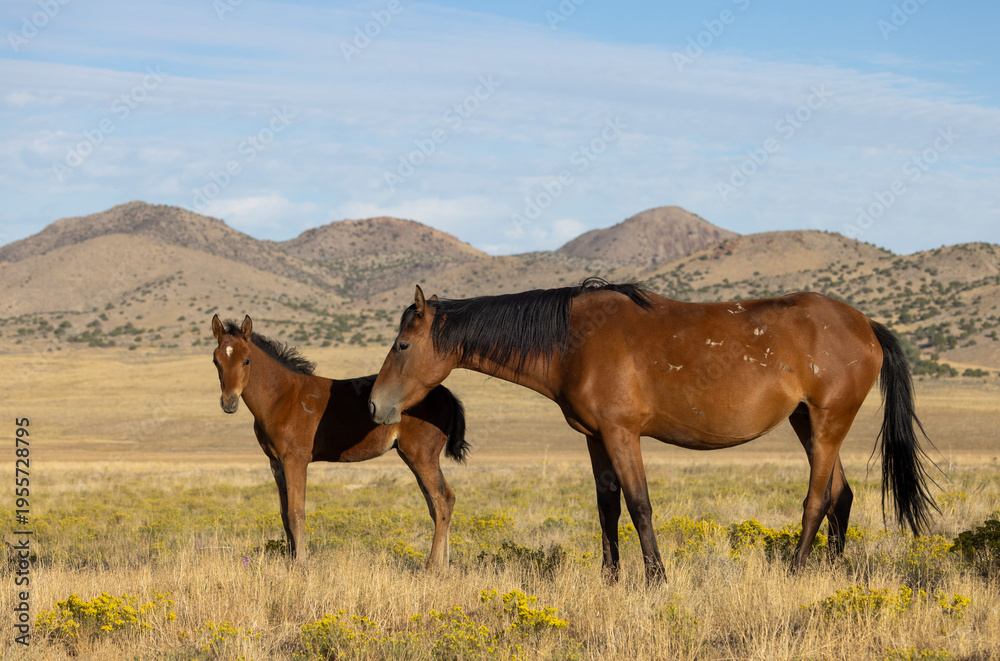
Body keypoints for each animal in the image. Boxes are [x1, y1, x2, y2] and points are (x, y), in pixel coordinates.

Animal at [210, 314, 469, 570]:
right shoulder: (276, 463)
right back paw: (444, 567)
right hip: (413, 456)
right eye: (215, 361)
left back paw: (433, 568)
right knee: (438, 504)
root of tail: (446, 394)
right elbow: (284, 515)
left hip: (421, 455)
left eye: (246, 360)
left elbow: (296, 513)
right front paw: (292, 563)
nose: (229, 403)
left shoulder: (296, 460)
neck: (281, 398)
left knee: (443, 501)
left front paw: (301, 566)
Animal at [367, 278, 938, 580]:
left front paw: (655, 579)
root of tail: (865, 324)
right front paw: (610, 577)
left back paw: (798, 570)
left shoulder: (623, 435)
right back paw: (832, 571)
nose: (375, 405)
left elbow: (640, 505)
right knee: (841, 495)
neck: (575, 340)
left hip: (826, 423)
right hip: (810, 423)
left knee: (817, 499)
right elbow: (608, 508)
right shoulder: (595, 438)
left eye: (402, 345)